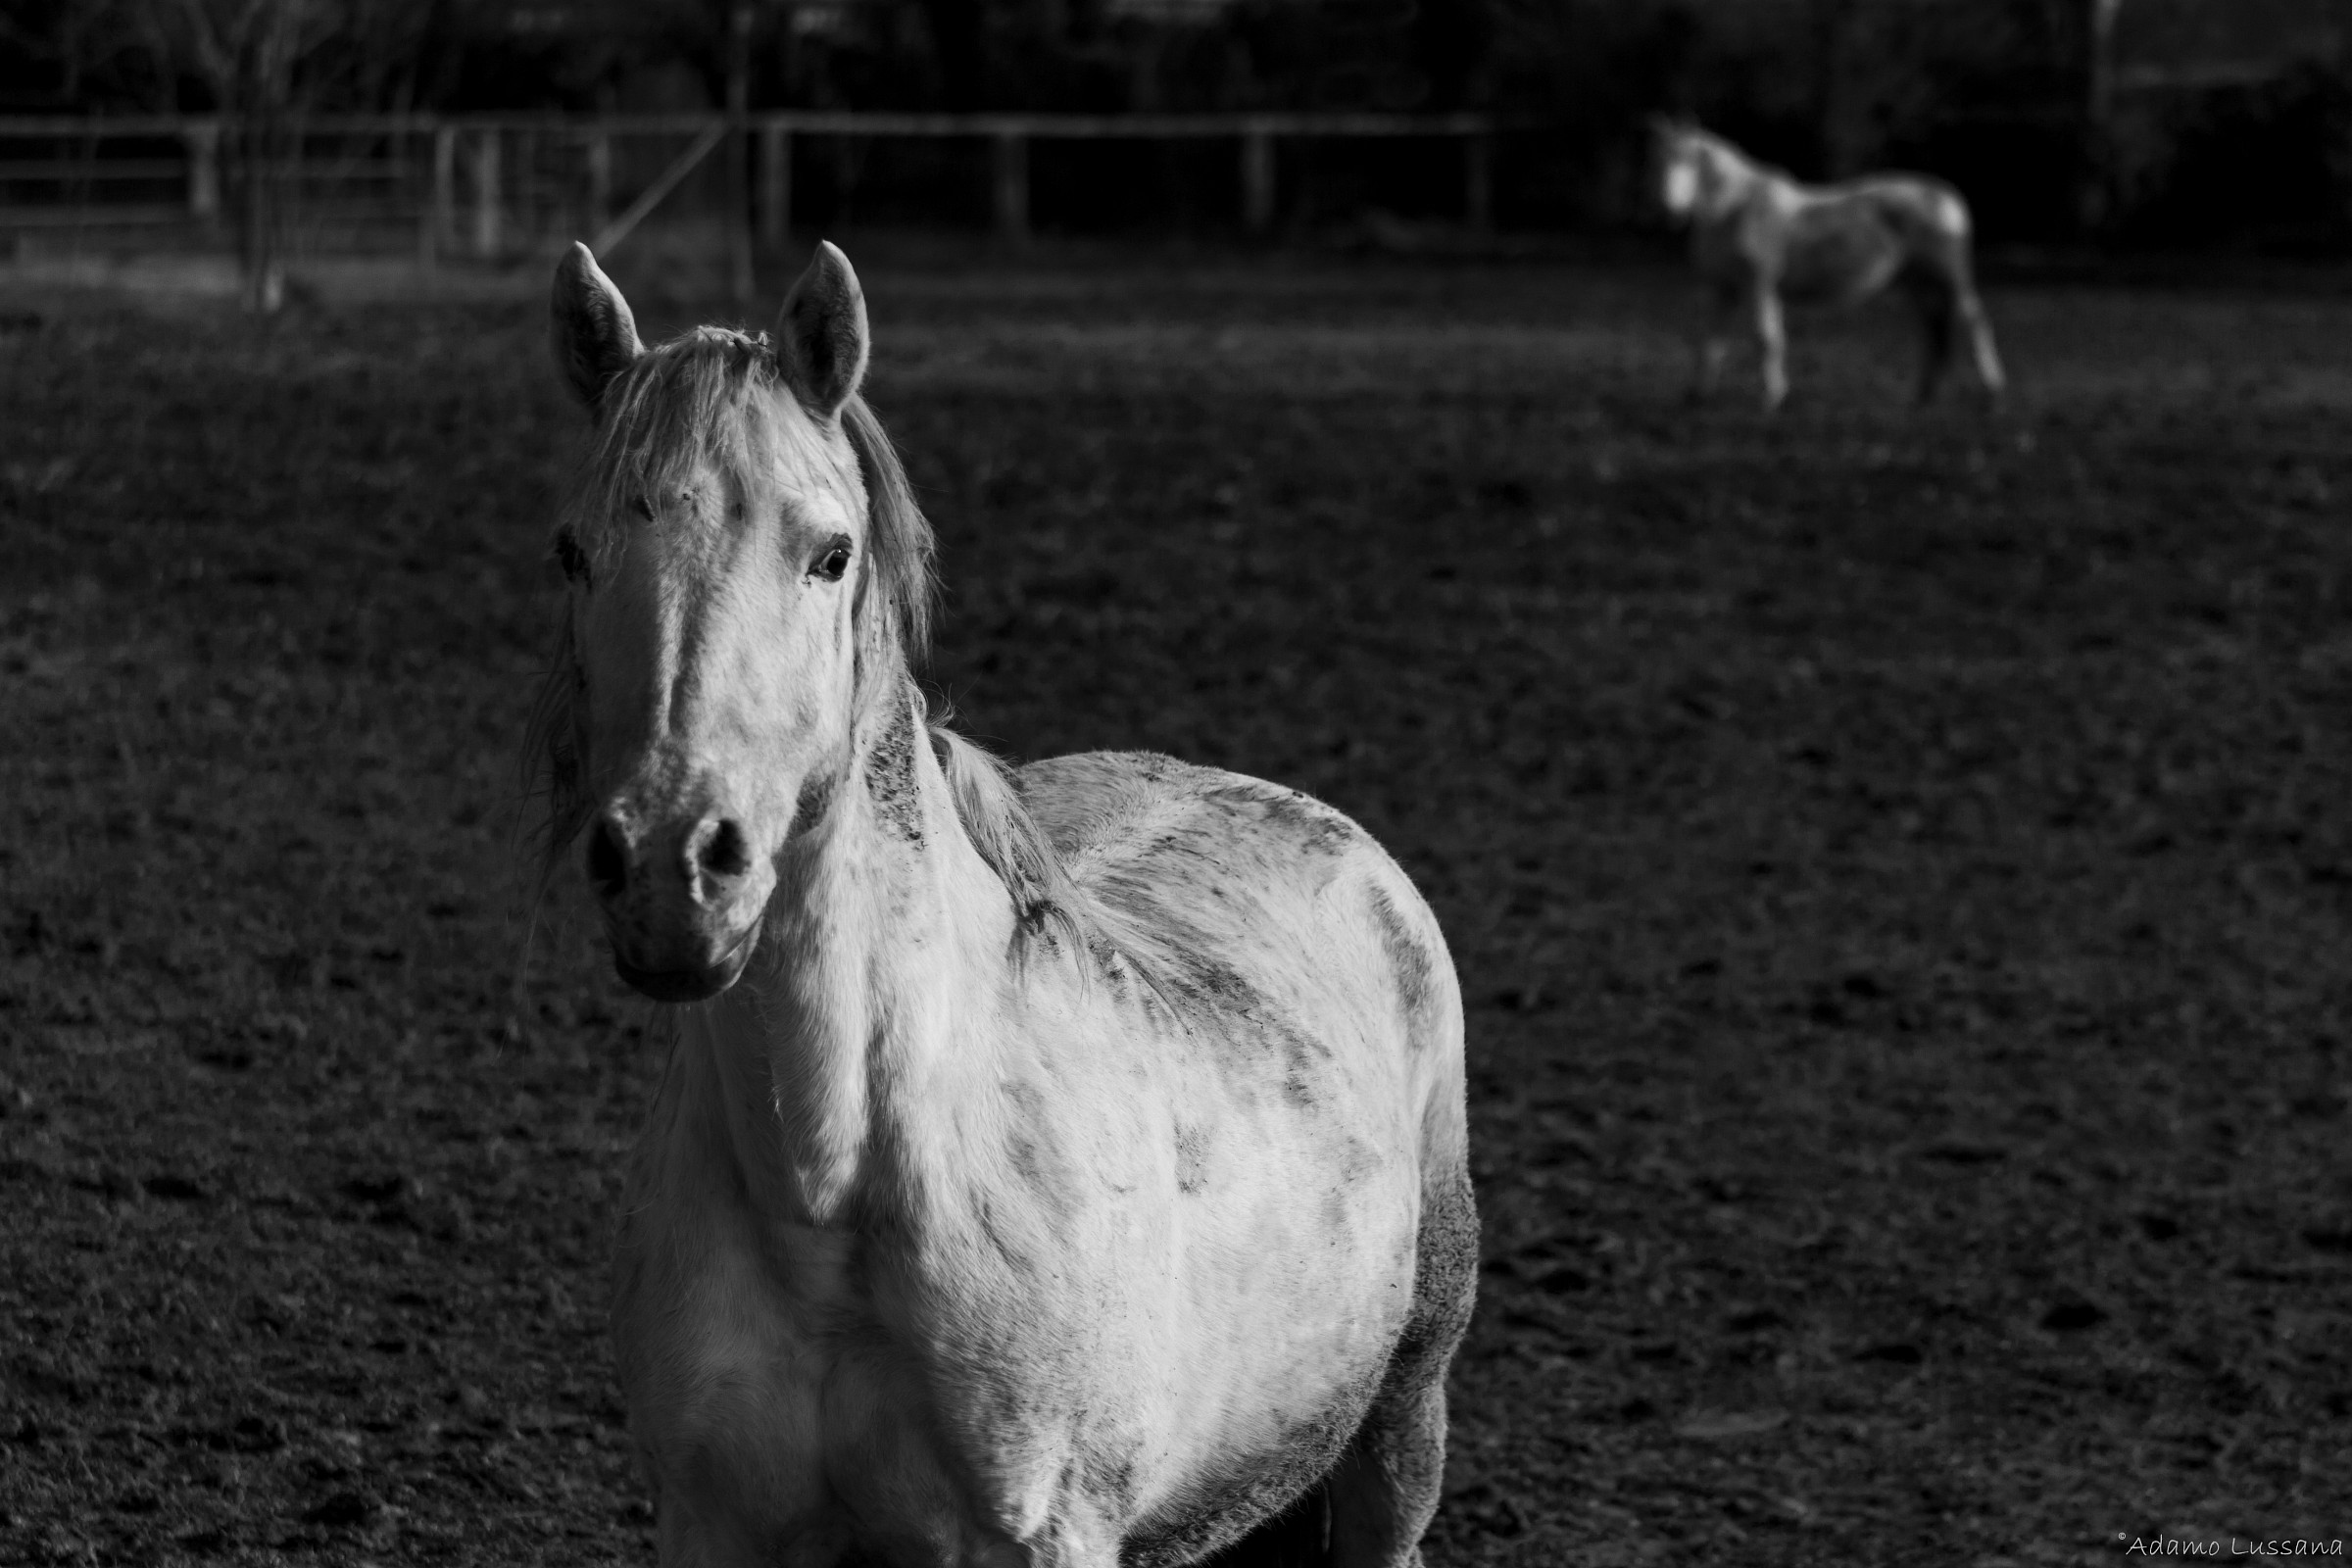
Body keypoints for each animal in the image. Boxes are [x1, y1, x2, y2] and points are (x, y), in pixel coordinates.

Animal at [533, 239, 1478, 1568]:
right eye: (573, 553)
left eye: (830, 553)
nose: (674, 864)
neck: (830, 1193)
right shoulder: (713, 1526)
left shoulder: (1042, 1534)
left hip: (1400, 1428)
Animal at [1649, 116, 2006, 411]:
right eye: (1658, 163)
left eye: (1691, 162)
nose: (1670, 211)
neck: (1735, 211)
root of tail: (1948, 199)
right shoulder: (1722, 289)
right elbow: (1711, 340)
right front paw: (1697, 394)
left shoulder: (1758, 284)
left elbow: (1766, 338)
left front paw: (1771, 397)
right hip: (1917, 282)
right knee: (1934, 330)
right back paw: (1924, 395)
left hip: (1949, 278)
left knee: (1974, 322)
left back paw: (1992, 392)